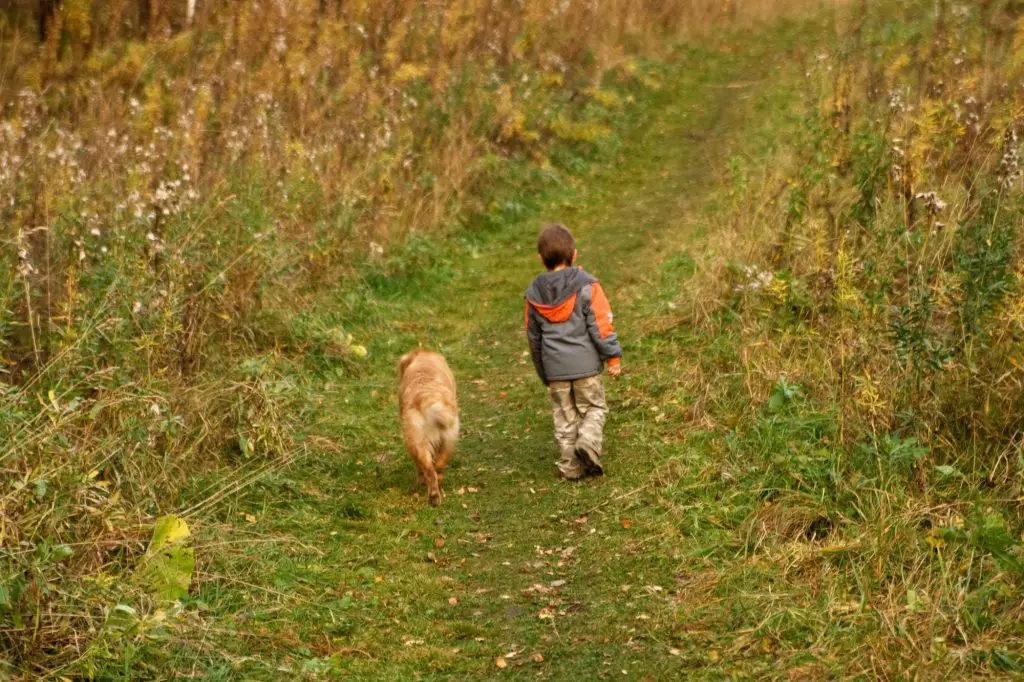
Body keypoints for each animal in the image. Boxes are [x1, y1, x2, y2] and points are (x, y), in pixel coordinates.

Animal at [397, 348, 458, 501]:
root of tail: (427, 398)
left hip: (414, 443)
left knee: (426, 469)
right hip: (448, 440)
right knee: (437, 468)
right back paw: (435, 495)